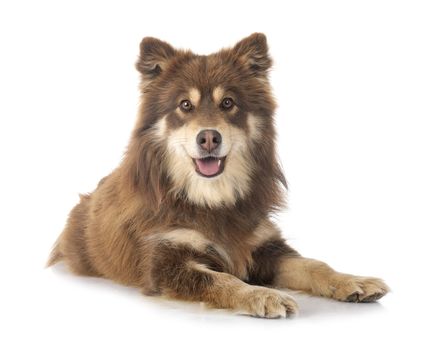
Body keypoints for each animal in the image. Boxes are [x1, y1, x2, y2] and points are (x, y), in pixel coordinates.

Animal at [48, 33, 388, 318]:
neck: (211, 198)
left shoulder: (265, 247)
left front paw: (352, 280)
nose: (209, 137)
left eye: (228, 103)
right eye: (185, 105)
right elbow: (222, 280)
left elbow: (313, 264)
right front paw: (263, 296)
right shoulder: (166, 263)